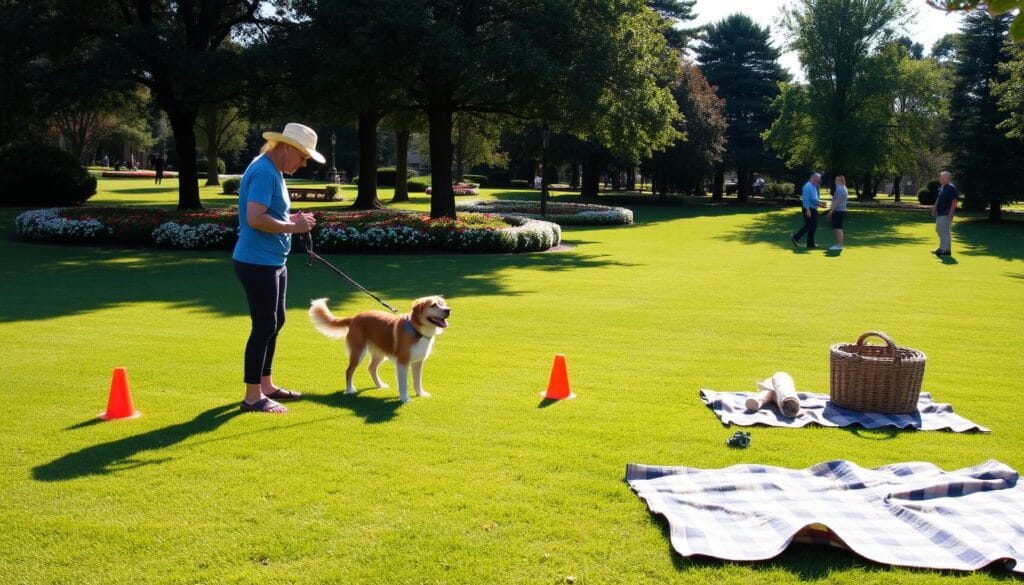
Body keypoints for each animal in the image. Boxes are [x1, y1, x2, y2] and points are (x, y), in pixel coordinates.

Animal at [303, 297, 448, 403]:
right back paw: (350, 390)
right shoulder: (402, 362)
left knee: (371, 368)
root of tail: (354, 318)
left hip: (379, 353)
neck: (416, 329)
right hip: (358, 352)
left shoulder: (418, 362)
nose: (448, 310)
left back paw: (380, 385)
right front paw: (404, 398)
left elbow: (417, 381)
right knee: (349, 370)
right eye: (434, 305)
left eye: (443, 304)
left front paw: (420, 394)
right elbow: (403, 383)